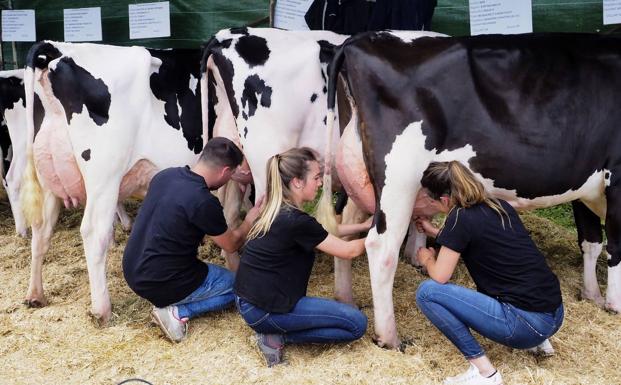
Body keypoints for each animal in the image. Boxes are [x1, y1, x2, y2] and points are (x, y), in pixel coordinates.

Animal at [22, 42, 203, 322]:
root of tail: (58, 50)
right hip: (104, 176)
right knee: (94, 232)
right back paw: (101, 310)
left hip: (48, 180)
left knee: (40, 232)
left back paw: (35, 294)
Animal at [322, 31, 620, 346]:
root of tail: (360, 39)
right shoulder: (617, 177)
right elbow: (615, 245)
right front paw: (614, 304)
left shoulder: (585, 184)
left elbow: (591, 242)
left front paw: (592, 295)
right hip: (399, 177)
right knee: (381, 247)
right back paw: (389, 337)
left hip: (359, 177)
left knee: (345, 227)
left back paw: (346, 300)